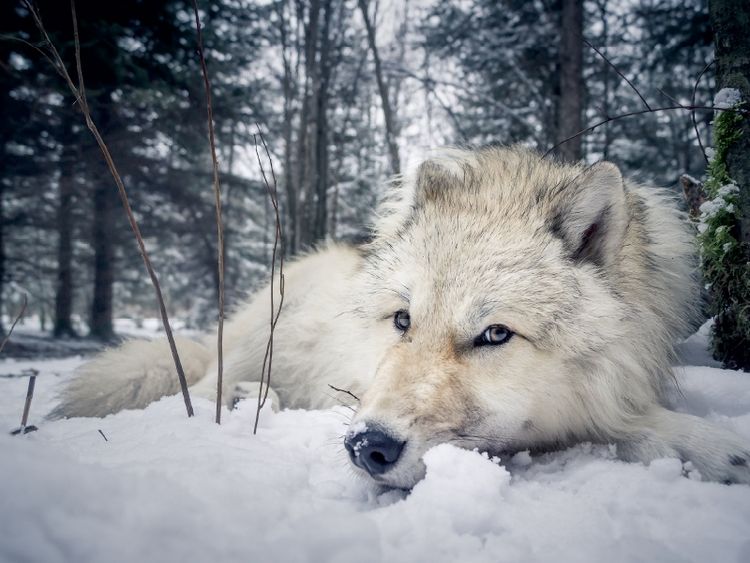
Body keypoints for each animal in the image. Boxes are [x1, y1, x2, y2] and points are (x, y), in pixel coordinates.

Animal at [53, 146, 750, 489]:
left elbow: (629, 429)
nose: (368, 447)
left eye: (495, 334)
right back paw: (247, 397)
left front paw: (711, 448)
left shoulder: (594, 408)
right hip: (261, 332)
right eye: (402, 321)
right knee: (199, 387)